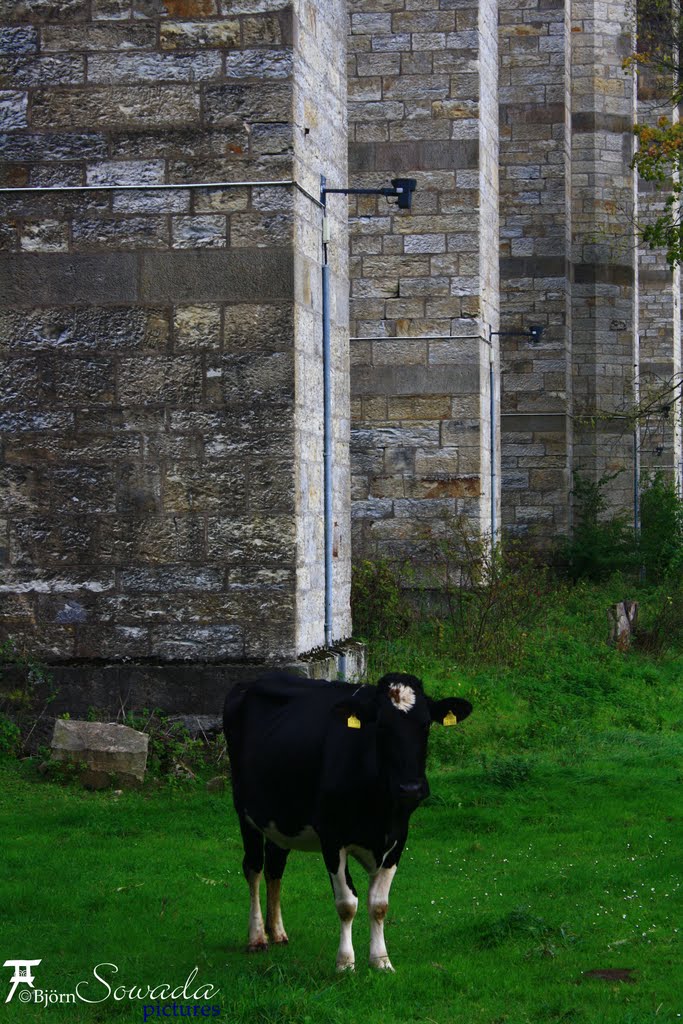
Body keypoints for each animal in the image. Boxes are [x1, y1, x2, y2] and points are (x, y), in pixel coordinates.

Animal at [223, 671, 471, 966]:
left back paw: (278, 933)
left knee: (275, 866)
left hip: (282, 820)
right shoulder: (331, 837)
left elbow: (379, 904)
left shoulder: (398, 836)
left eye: (425, 726)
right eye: (381, 728)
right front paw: (345, 962)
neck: (380, 811)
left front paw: (381, 960)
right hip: (245, 813)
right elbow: (346, 904)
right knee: (253, 868)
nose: (410, 788)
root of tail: (250, 681)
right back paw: (257, 937)